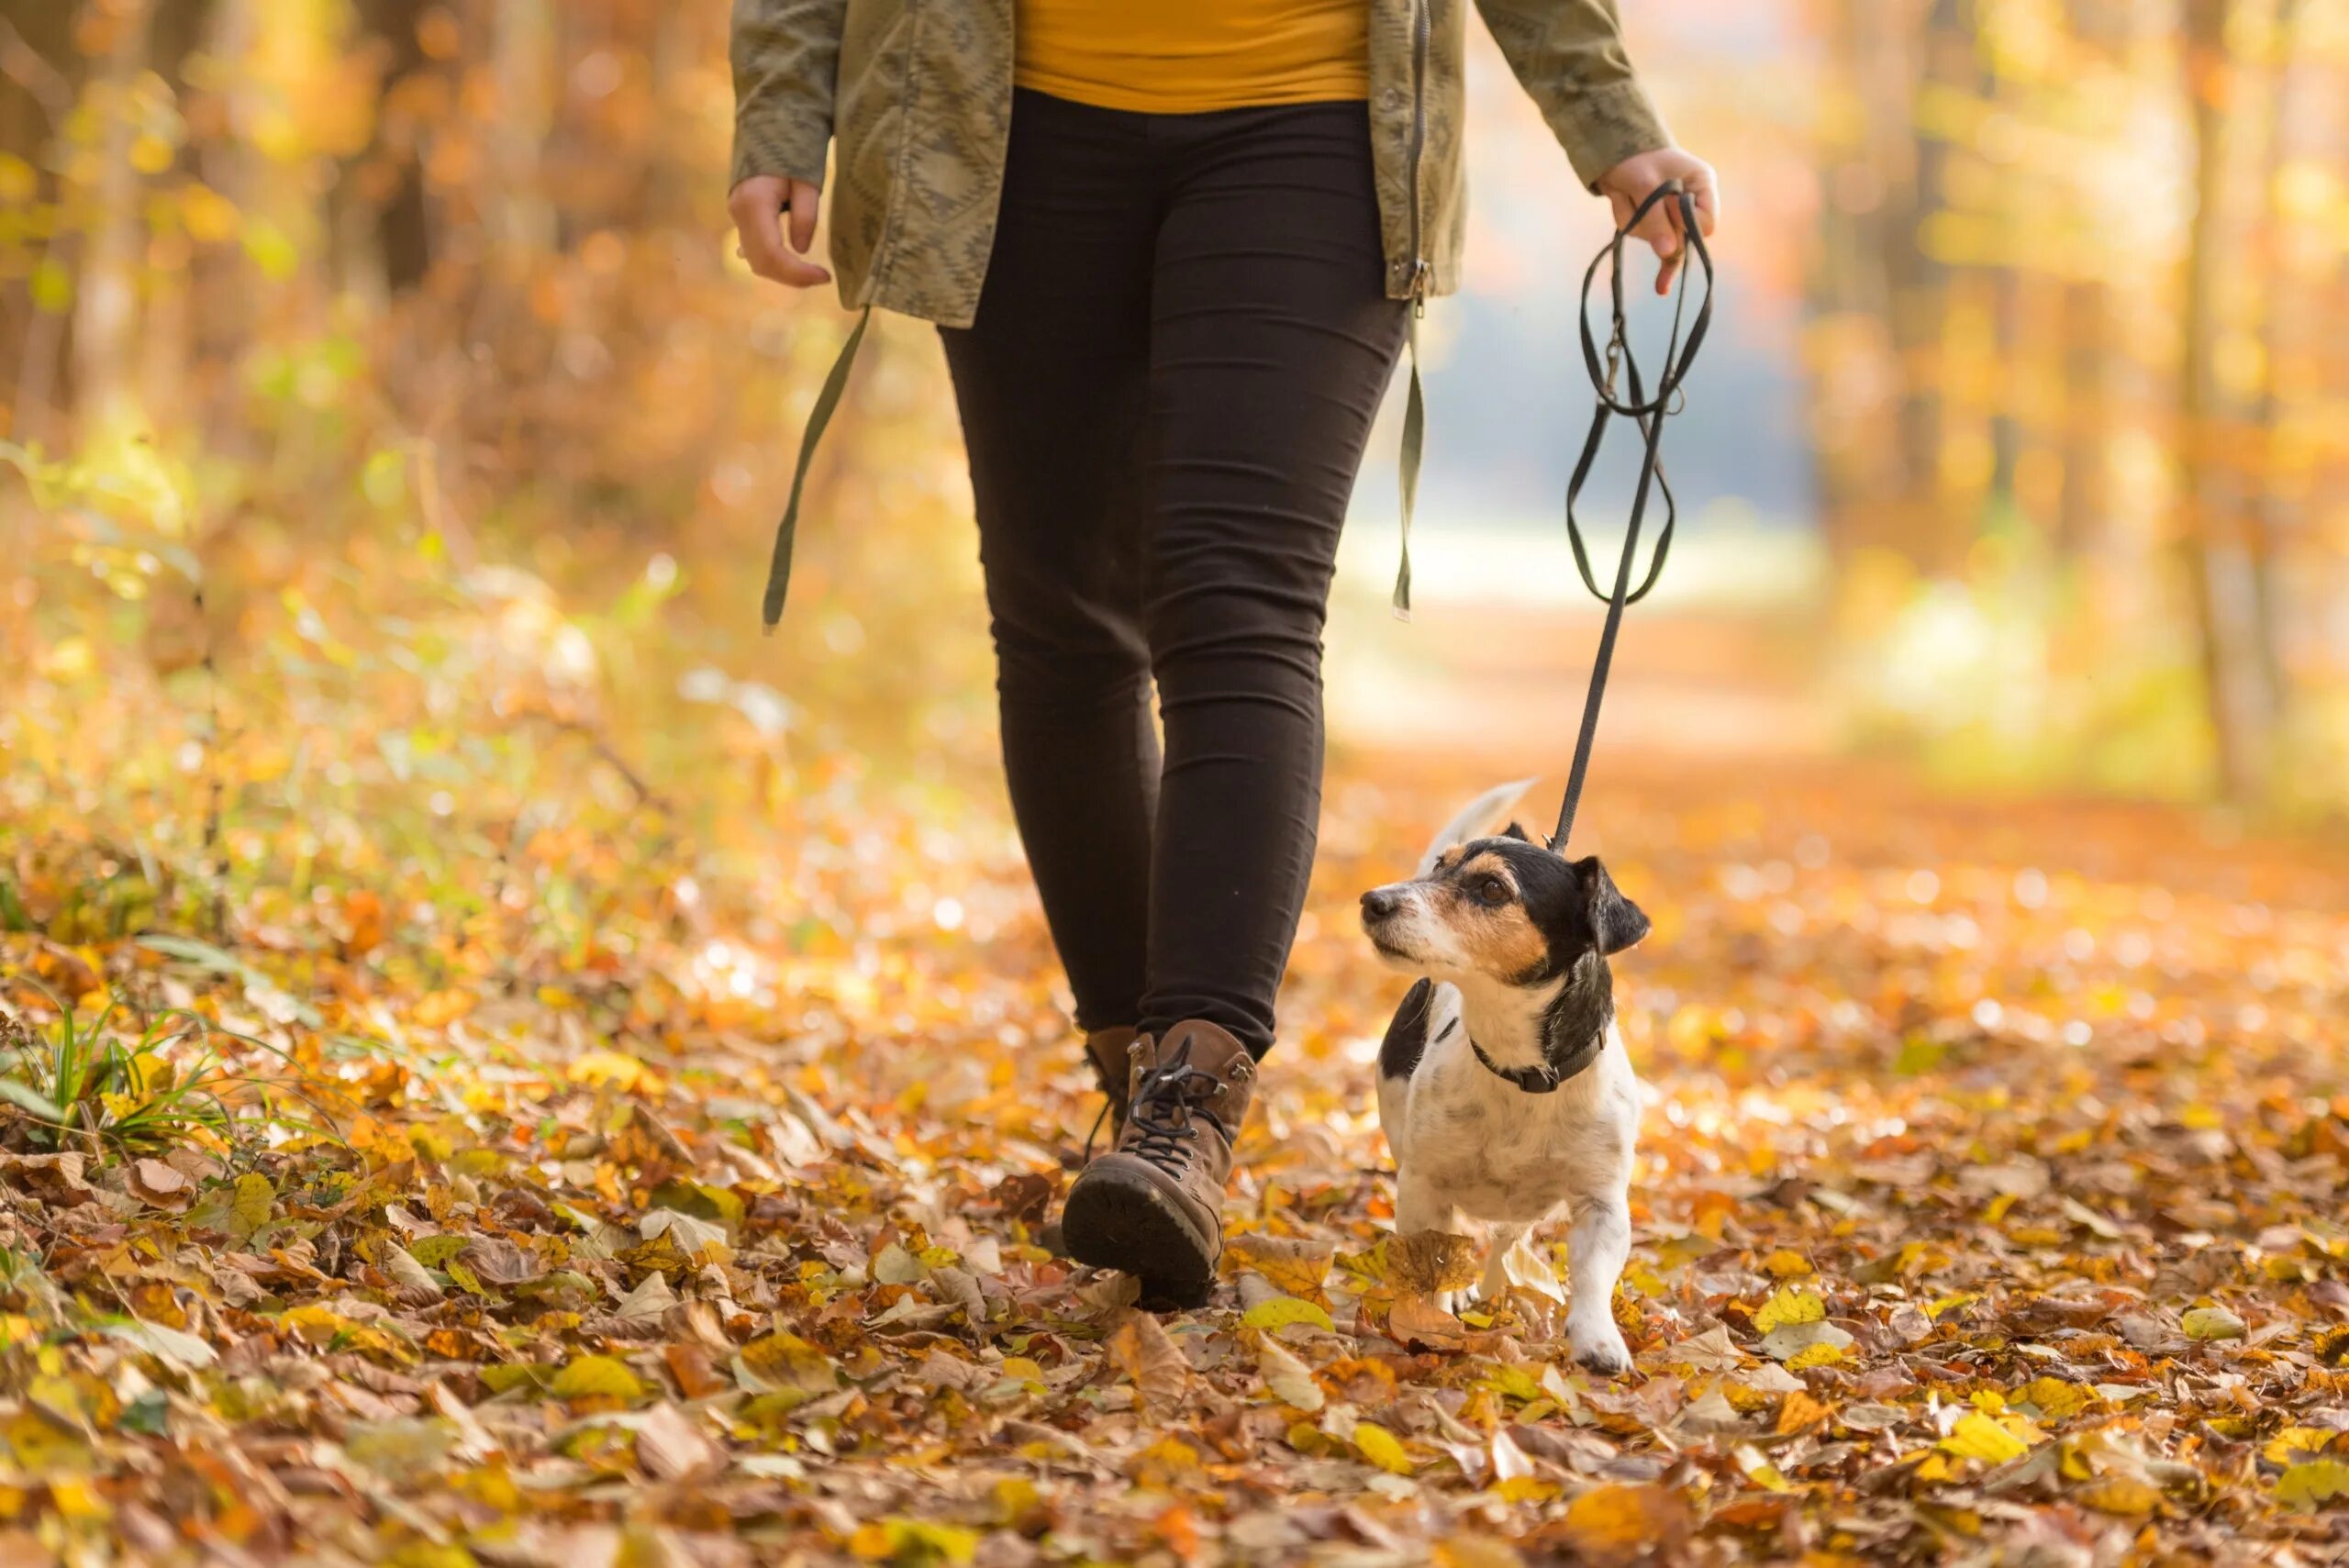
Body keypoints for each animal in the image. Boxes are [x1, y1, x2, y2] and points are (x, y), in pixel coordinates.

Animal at [1362, 784, 1653, 1371]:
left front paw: (1598, 1338)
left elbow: (1592, 1276)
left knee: (1507, 1242)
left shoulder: (1602, 1205)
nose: (1373, 900)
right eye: (1439, 866)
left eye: (1492, 888)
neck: (1520, 1073)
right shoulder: (1423, 1187)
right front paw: (1431, 1321)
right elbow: (1432, 1262)